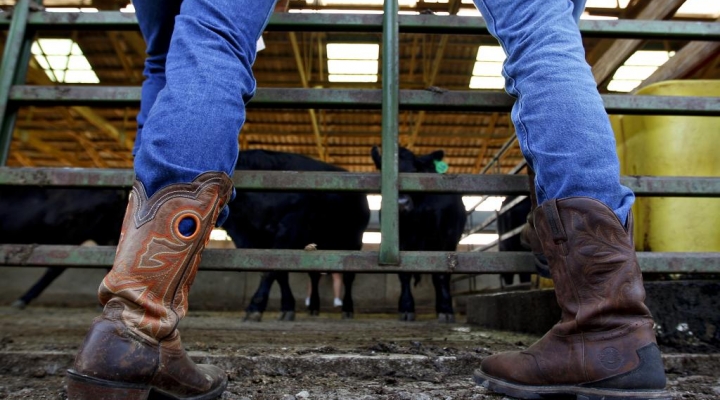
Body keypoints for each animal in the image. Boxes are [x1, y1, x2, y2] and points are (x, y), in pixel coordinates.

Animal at [224, 150, 372, 322]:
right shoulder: (252, 237)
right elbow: (280, 273)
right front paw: (287, 308)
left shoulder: (287, 230)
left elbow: (270, 271)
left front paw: (255, 308)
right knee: (314, 275)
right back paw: (313, 307)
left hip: (353, 240)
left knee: (349, 276)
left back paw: (347, 309)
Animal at [372, 147, 466, 322]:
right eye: (382, 170)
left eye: (414, 171)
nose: (401, 204)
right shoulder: (401, 242)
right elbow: (404, 275)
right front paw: (406, 307)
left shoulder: (446, 239)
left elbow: (441, 276)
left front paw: (446, 309)